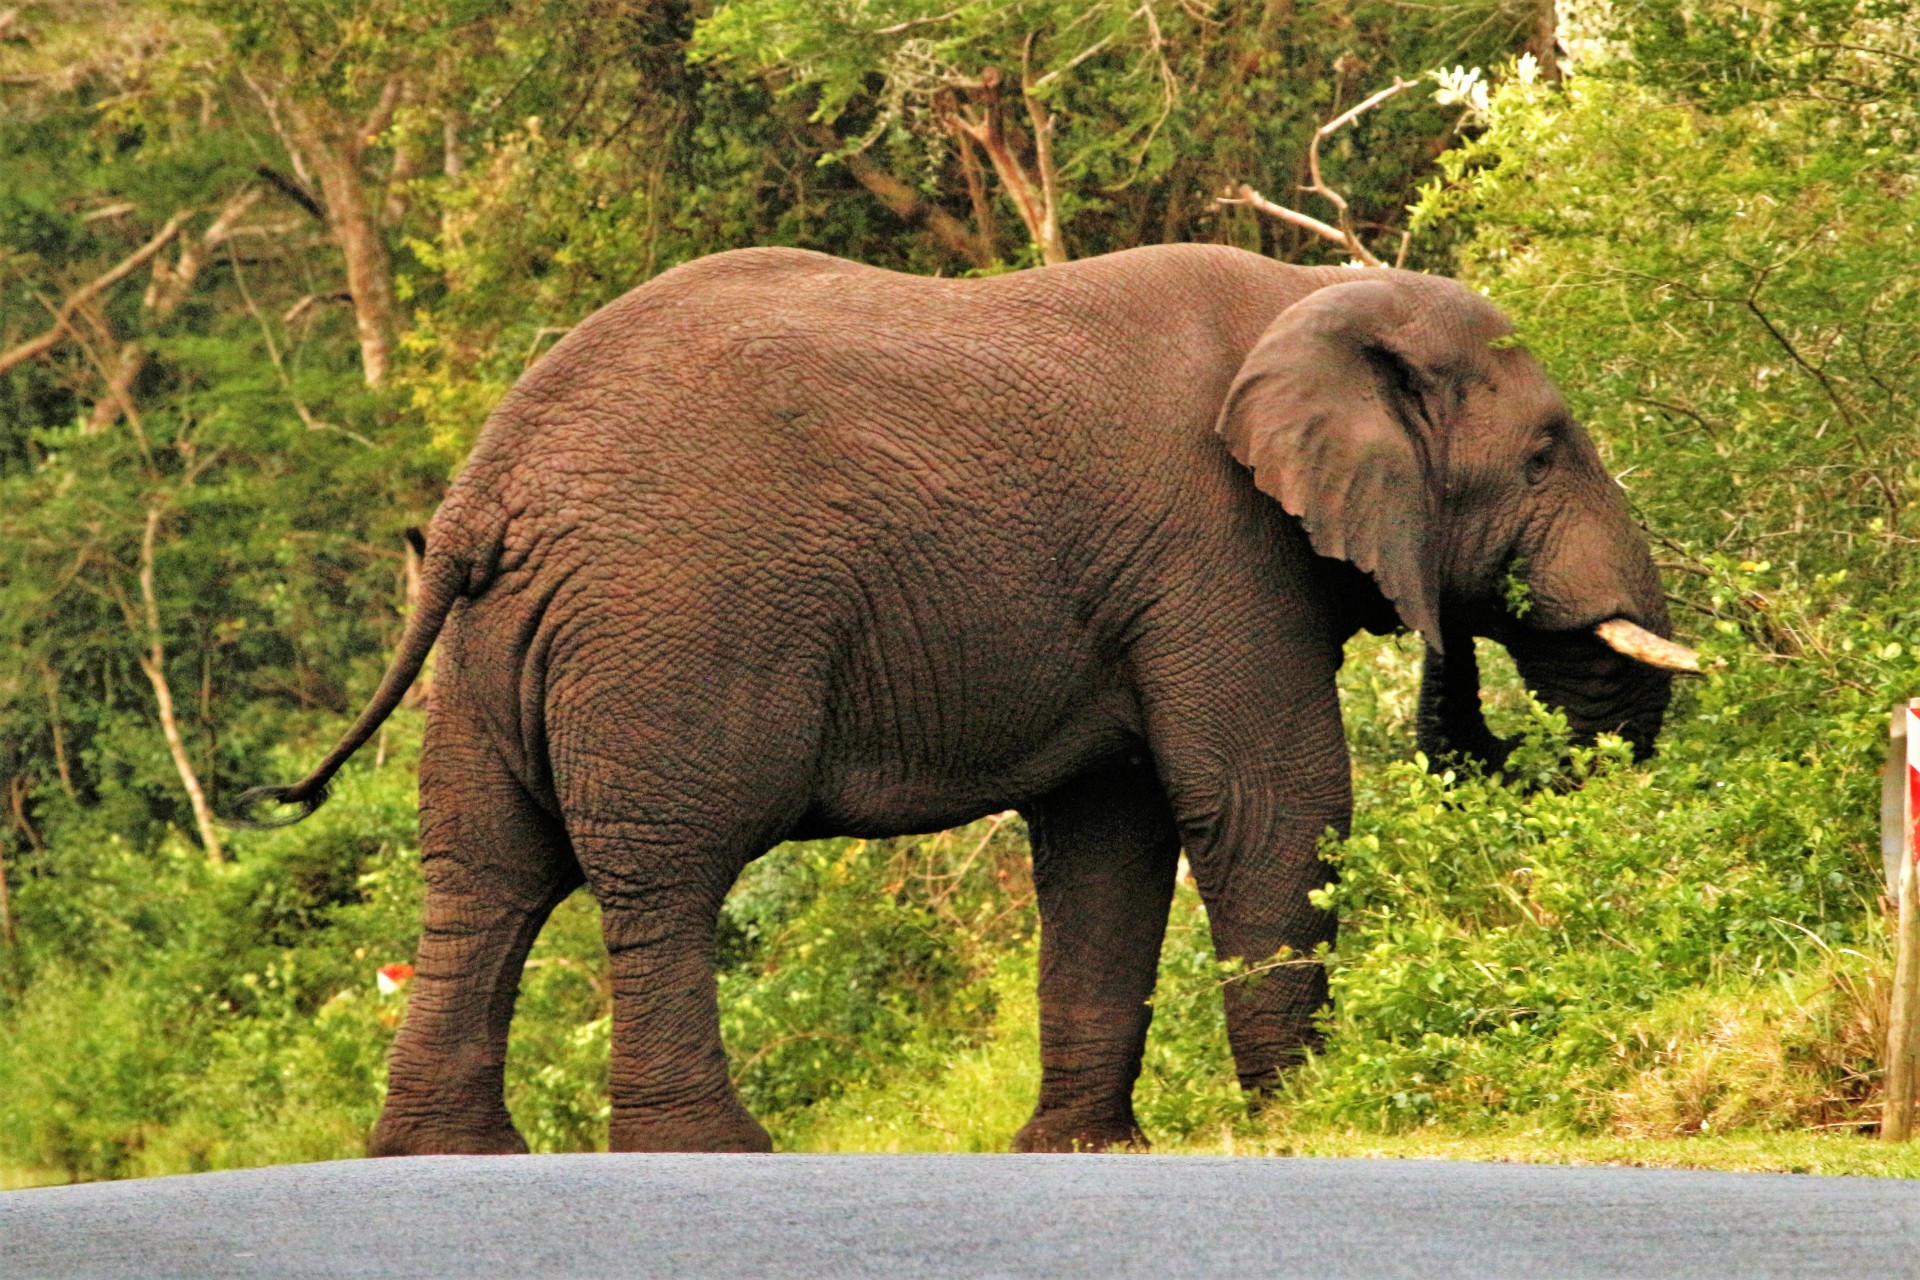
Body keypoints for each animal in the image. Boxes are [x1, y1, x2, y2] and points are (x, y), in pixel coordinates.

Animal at [240, 245, 1697, 1159]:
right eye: (1546, 452)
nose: (1476, 710)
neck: (1317, 297)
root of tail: (488, 488)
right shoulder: (1215, 550)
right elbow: (1267, 803)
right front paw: (1309, 1114)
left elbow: (1109, 837)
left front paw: (1083, 1148)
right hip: (673, 628)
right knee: (665, 866)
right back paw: (714, 1148)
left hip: (489, 657)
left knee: (483, 870)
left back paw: (443, 1153)